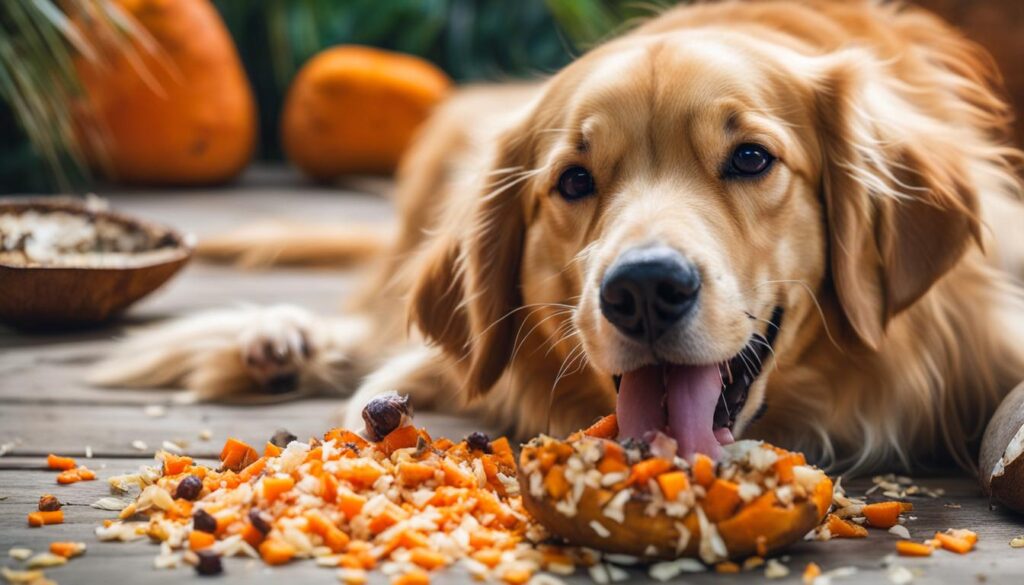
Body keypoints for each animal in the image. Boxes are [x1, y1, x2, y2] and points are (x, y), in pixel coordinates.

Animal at [90, 0, 1024, 473]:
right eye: (574, 181)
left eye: (752, 158)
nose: (643, 290)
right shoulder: (459, 355)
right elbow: (383, 388)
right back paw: (276, 338)